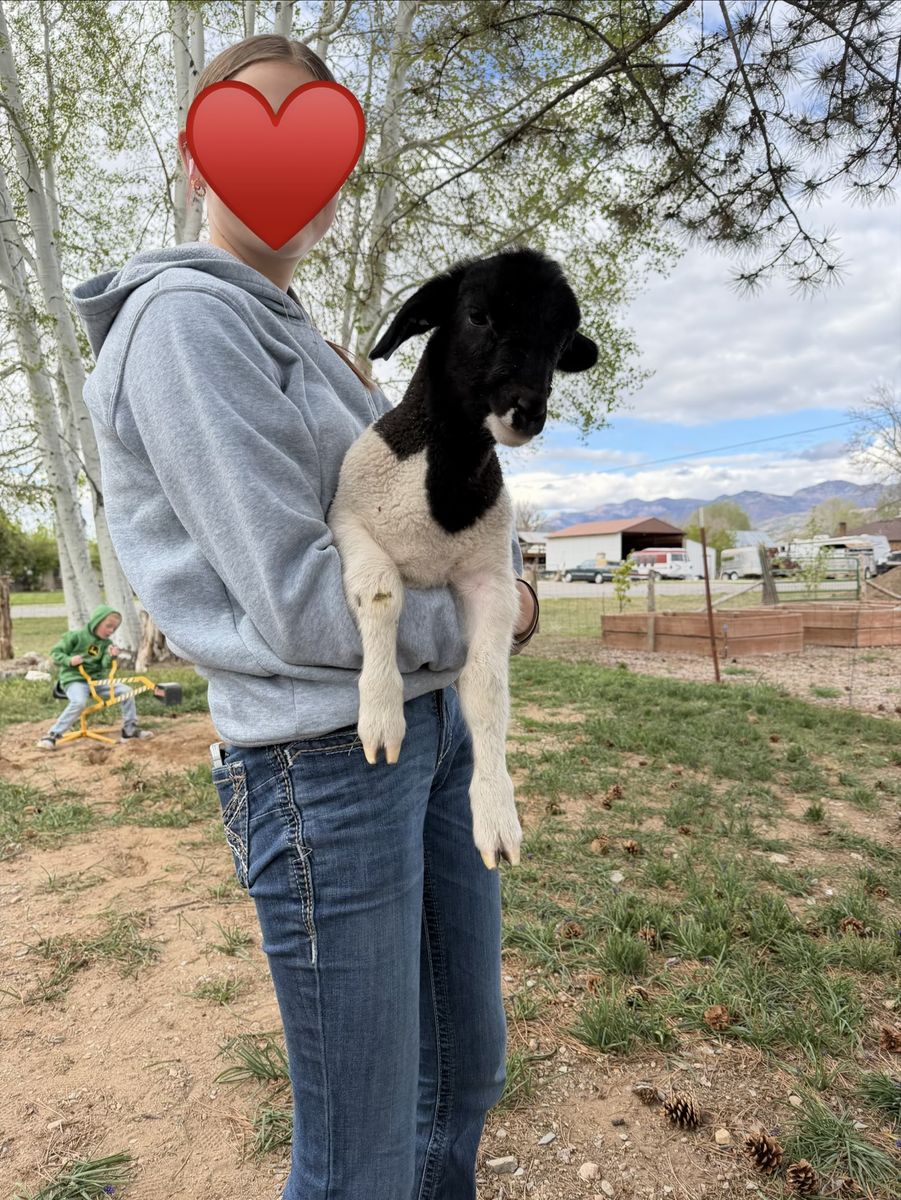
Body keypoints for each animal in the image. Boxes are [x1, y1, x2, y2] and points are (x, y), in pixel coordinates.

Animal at [327, 246, 598, 870]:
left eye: (560, 340)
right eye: (477, 315)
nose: (527, 410)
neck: (444, 478)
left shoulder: (492, 582)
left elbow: (486, 690)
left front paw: (497, 814)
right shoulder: (348, 522)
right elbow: (382, 592)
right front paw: (382, 715)